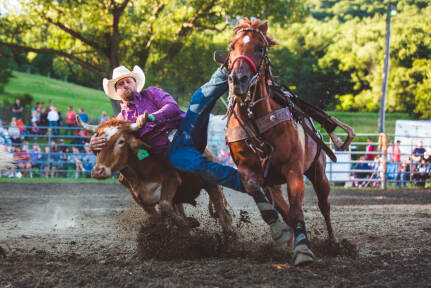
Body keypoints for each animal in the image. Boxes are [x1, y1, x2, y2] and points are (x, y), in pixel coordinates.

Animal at [226, 18, 340, 266]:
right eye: (232, 46)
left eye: (260, 48)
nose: (238, 80)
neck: (256, 119)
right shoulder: (249, 172)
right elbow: (266, 201)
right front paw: (281, 233)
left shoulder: (293, 170)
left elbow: (297, 210)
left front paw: (303, 249)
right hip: (273, 184)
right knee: (283, 208)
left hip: (318, 172)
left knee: (324, 205)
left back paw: (333, 243)